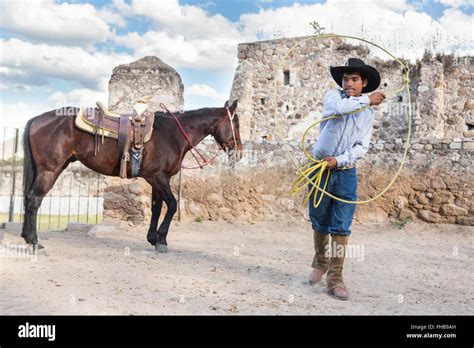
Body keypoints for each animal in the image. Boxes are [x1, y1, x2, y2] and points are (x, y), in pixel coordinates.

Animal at [21, 100, 244, 253]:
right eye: (237, 125)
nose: (239, 152)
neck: (172, 134)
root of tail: (36, 119)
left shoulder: (157, 179)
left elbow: (157, 208)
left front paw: (153, 238)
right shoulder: (158, 177)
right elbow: (172, 204)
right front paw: (162, 240)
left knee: (28, 199)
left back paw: (26, 236)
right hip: (49, 170)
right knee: (34, 200)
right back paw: (33, 240)